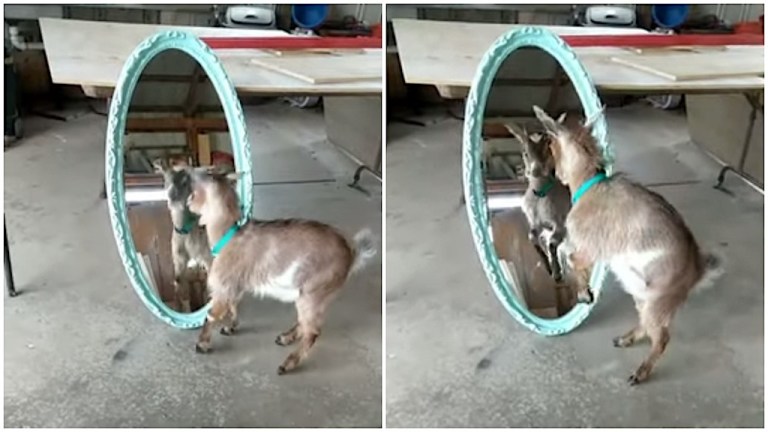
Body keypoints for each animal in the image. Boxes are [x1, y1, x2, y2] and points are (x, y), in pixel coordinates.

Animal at [153, 159, 213, 310]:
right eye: (165, 180)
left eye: (185, 182)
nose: (172, 197)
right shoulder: (180, 263)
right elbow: (183, 292)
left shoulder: (206, 259)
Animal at [187, 169, 378, 374]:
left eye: (197, 188)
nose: (188, 201)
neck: (228, 236)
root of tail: (352, 254)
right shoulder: (235, 285)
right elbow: (234, 306)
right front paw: (231, 328)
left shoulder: (224, 284)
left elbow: (212, 315)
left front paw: (202, 344)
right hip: (317, 295)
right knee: (305, 323)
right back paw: (285, 338)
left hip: (314, 290)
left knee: (313, 331)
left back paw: (287, 364)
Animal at [508, 121, 568, 284]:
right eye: (525, 152)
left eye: (547, 149)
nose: (535, 171)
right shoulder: (537, 222)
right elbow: (532, 237)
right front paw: (548, 267)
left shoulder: (561, 224)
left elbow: (552, 244)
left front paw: (557, 273)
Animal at [536, 104, 720, 384]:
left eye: (551, 146)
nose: (551, 173)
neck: (589, 186)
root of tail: (696, 270)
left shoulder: (589, 249)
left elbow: (570, 257)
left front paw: (583, 293)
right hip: (641, 294)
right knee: (647, 327)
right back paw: (626, 339)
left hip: (657, 302)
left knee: (662, 338)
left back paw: (640, 372)